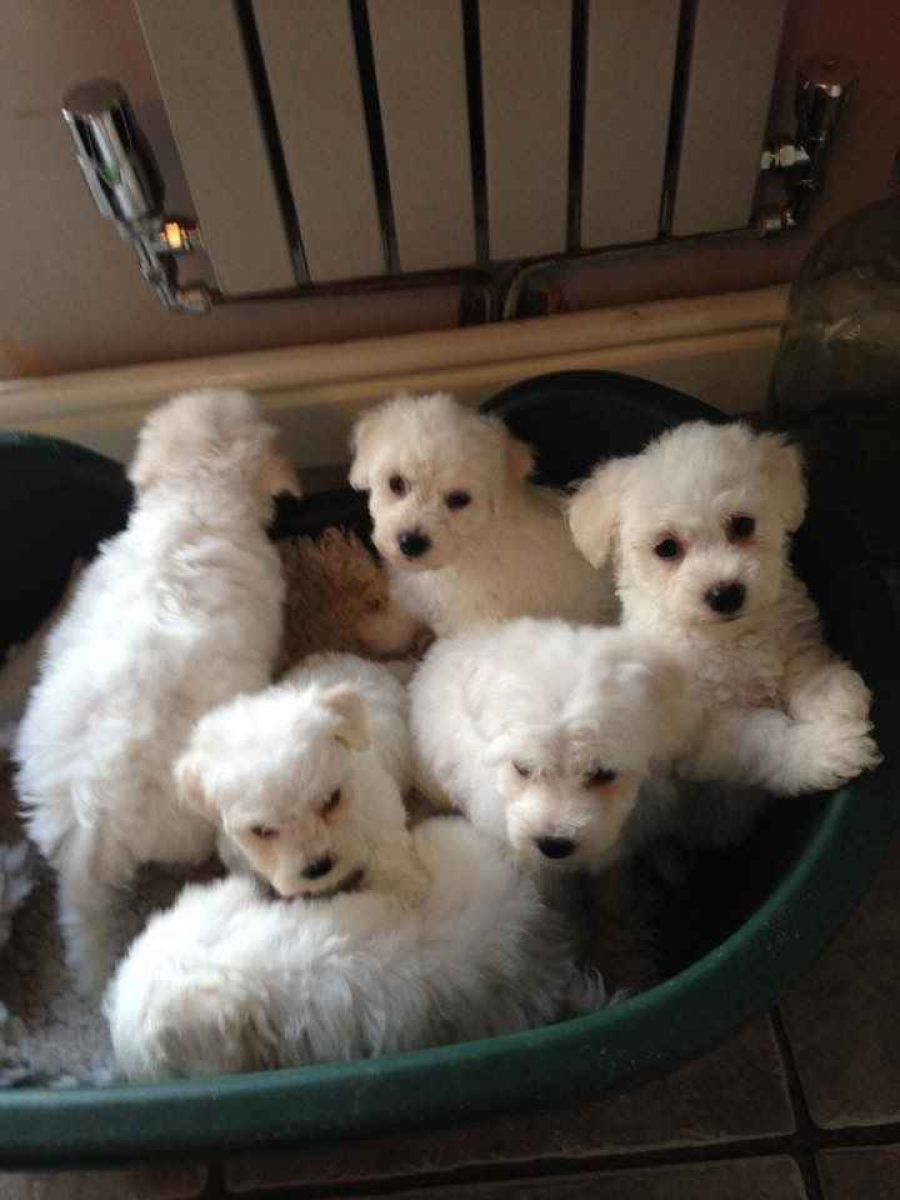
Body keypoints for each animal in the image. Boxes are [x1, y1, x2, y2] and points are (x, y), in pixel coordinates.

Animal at [349, 392, 615, 637]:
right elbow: (398, 620)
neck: (470, 544)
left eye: (459, 499)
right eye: (396, 483)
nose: (411, 543)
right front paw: (372, 629)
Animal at [568, 420, 881, 802]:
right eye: (667, 548)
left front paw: (832, 694)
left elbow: (803, 660)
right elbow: (766, 739)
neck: (729, 637)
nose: (726, 593)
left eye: (743, 525)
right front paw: (828, 750)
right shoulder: (708, 734)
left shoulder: (790, 628)